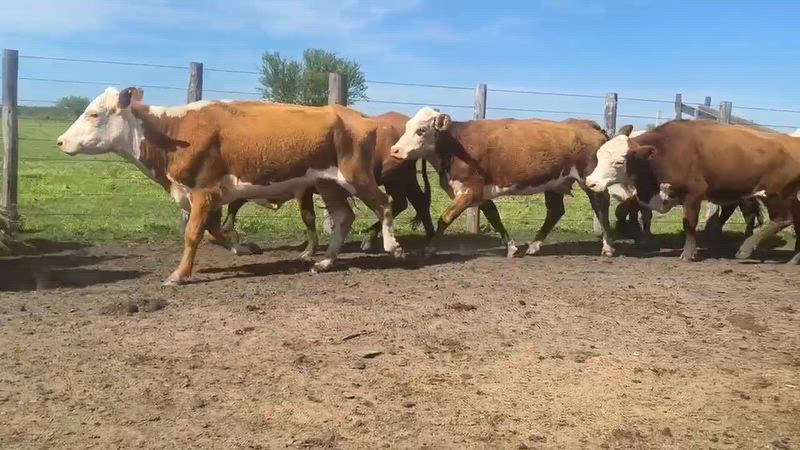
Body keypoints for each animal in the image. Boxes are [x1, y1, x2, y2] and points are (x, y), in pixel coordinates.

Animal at [57, 87, 404, 285]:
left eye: (94, 114)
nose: (60, 141)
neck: (173, 133)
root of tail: (359, 117)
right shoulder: (209, 196)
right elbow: (214, 231)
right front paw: (244, 246)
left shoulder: (203, 191)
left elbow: (193, 235)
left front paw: (179, 275)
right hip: (328, 183)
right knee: (344, 218)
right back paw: (326, 260)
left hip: (356, 176)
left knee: (384, 204)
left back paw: (392, 247)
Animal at [389, 107, 621, 257]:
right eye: (407, 127)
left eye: (421, 130)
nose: (395, 150)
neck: (455, 145)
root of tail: (588, 125)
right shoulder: (481, 192)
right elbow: (494, 216)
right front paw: (511, 247)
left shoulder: (470, 190)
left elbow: (445, 218)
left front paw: (430, 247)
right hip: (555, 183)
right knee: (555, 211)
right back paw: (534, 246)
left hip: (590, 180)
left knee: (600, 206)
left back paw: (608, 246)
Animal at [585, 119, 800, 262]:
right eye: (599, 155)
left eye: (619, 162)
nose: (591, 182)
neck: (664, 152)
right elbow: (625, 208)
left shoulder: (693, 194)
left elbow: (689, 223)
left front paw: (688, 253)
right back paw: (794, 259)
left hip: (774, 194)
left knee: (782, 220)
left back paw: (745, 249)